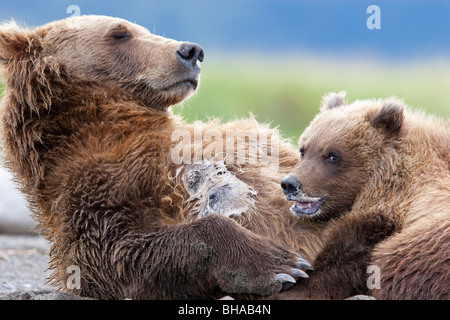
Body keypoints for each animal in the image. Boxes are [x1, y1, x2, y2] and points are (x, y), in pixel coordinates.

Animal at [0, 15, 320, 300]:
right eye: (120, 33)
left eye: (143, 29)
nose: (192, 51)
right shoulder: (96, 193)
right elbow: (124, 255)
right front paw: (281, 265)